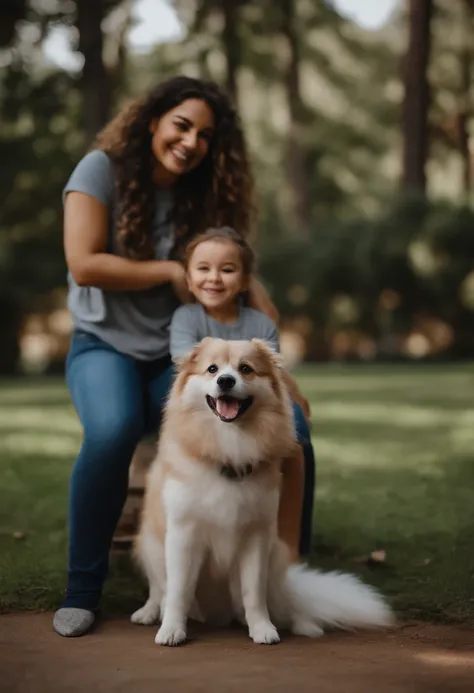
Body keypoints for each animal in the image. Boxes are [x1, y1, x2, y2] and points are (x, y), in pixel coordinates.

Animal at [131, 338, 392, 648]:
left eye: (246, 369)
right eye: (212, 369)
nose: (226, 380)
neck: (229, 447)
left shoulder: (256, 536)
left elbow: (253, 593)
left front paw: (262, 628)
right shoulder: (184, 534)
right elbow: (178, 590)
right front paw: (171, 629)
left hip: (276, 554)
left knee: (283, 605)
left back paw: (302, 624)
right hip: (151, 546)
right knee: (158, 589)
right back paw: (149, 612)